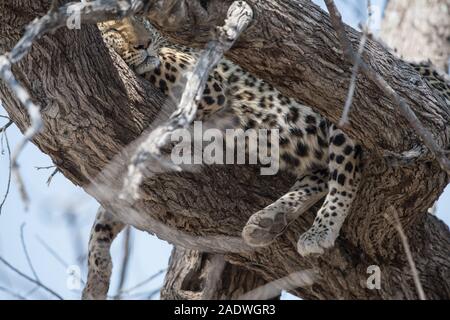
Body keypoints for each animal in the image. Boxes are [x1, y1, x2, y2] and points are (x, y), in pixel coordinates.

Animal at [83, 16, 450, 298]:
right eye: (115, 24)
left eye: (142, 20)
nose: (144, 43)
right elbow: (103, 217)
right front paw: (96, 278)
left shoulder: (207, 82)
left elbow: (161, 63)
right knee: (322, 173)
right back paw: (270, 219)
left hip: (343, 108)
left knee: (346, 172)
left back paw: (320, 230)